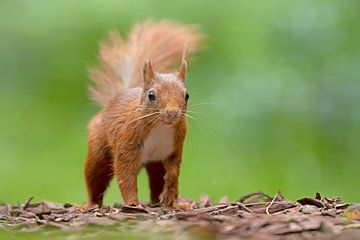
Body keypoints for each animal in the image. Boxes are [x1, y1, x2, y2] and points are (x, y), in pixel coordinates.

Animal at [83, 21, 204, 208]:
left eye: (187, 95)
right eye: (151, 95)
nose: (172, 113)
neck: (160, 127)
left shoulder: (174, 147)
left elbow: (174, 170)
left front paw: (172, 196)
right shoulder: (128, 143)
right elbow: (126, 175)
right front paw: (133, 203)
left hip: (155, 162)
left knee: (156, 180)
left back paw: (166, 202)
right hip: (99, 150)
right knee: (95, 177)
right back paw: (90, 204)